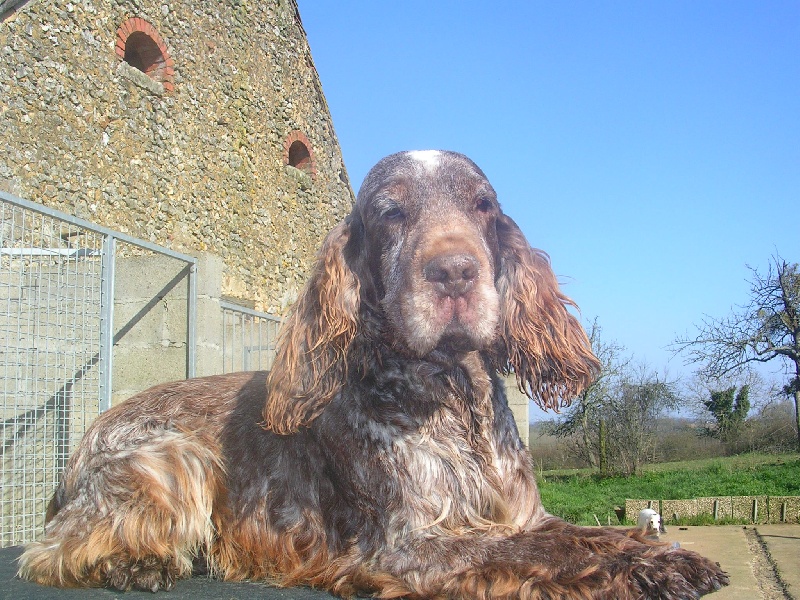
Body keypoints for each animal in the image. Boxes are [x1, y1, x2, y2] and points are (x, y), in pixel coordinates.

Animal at [18, 150, 732, 596]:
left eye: (483, 205)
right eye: (391, 212)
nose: (455, 271)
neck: (454, 401)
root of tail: (79, 453)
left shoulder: (527, 517)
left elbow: (592, 536)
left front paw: (660, 550)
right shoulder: (413, 546)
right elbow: (550, 556)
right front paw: (650, 571)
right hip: (170, 457)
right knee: (48, 553)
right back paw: (133, 565)